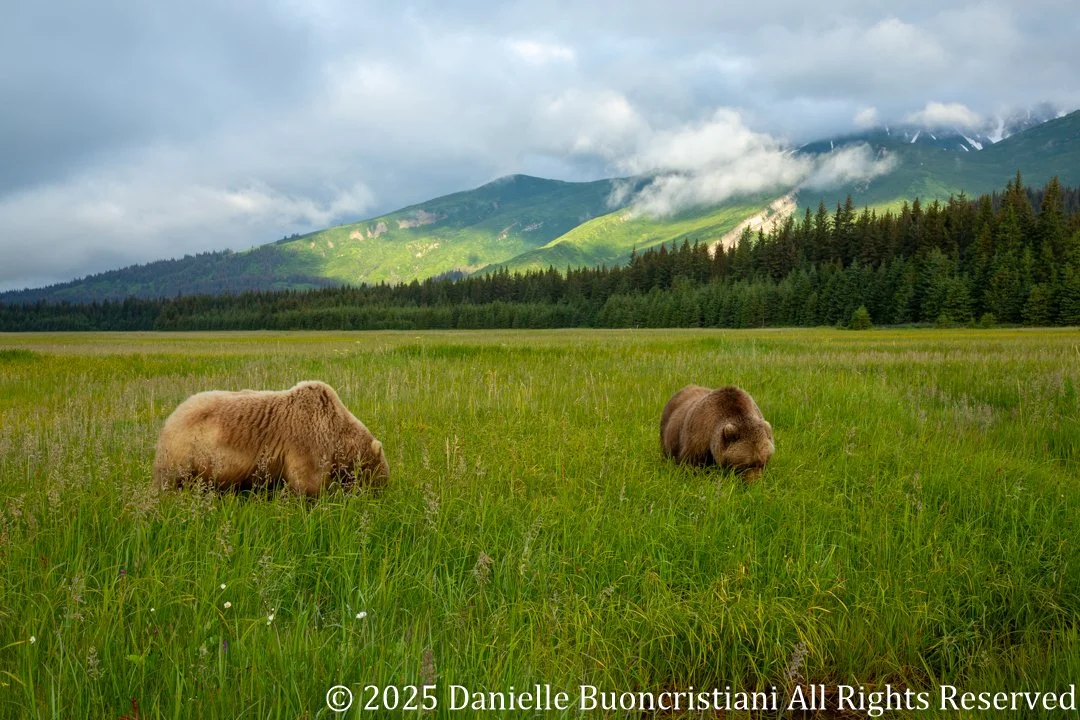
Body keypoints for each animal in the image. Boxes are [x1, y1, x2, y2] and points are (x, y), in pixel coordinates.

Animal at [152, 380, 389, 496]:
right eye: (382, 475)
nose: (383, 492)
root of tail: (172, 415)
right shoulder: (307, 441)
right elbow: (308, 481)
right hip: (184, 451)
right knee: (170, 481)